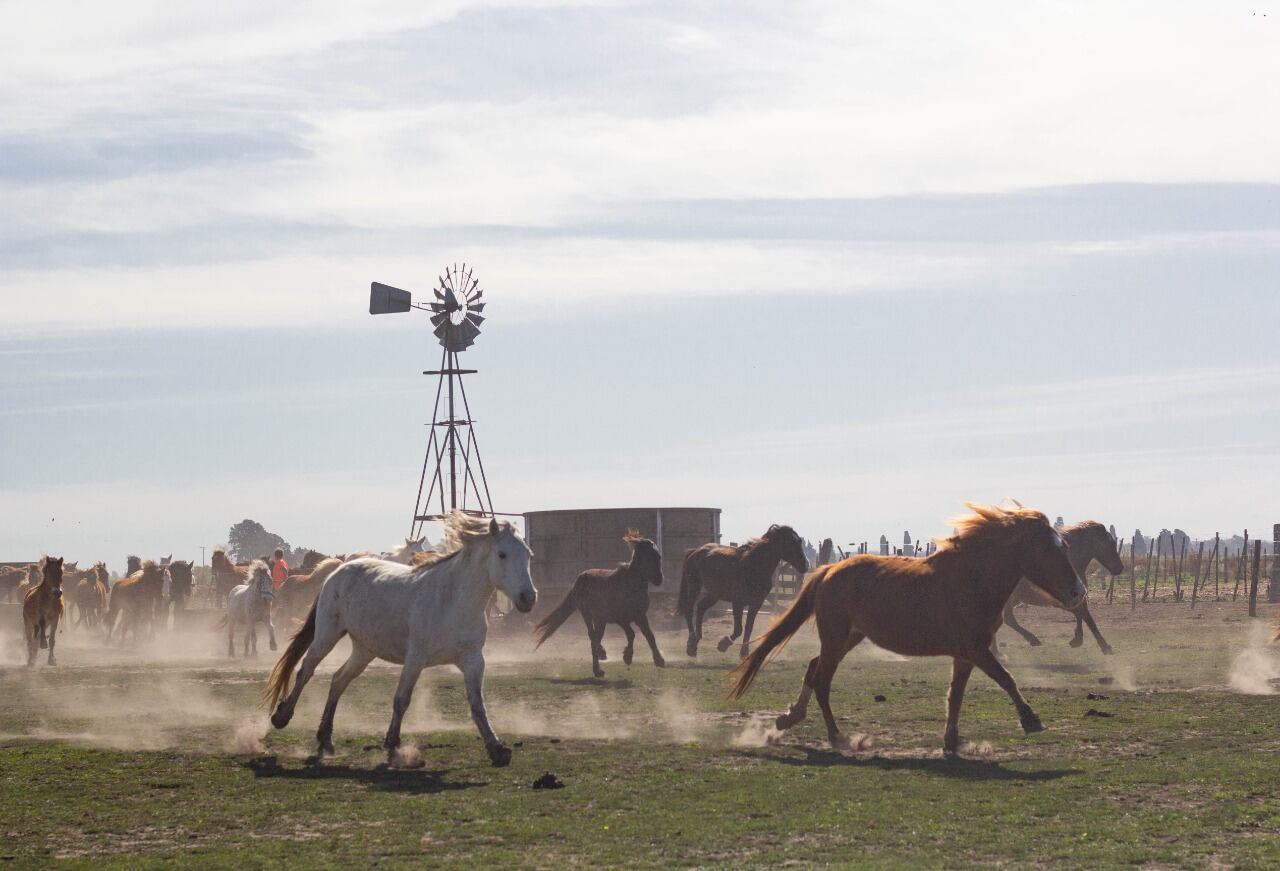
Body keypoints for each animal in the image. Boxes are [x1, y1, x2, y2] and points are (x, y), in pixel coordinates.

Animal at [264, 514, 535, 763]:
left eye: (528, 555)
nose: (528, 597)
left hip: (364, 650)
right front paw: (392, 743)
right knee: (306, 670)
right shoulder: (415, 658)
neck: (453, 600)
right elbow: (401, 699)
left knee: (339, 680)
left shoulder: (473, 660)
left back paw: (325, 739)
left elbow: (478, 705)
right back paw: (282, 716)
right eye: (502, 554)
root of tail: (337, 572)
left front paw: (497, 749)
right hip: (327, 634)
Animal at [532, 530, 665, 681]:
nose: (659, 579)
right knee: (592, 637)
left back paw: (599, 666)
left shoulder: (640, 616)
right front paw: (627, 657)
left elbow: (649, 635)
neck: (630, 584)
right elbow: (631, 634)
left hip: (600, 620)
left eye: (658, 556)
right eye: (648, 557)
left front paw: (659, 660)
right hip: (587, 615)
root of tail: (580, 578)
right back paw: (599, 663)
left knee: (596, 638)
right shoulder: (621, 619)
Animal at [680, 525, 808, 660]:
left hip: (714, 594)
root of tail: (695, 551)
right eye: (791, 542)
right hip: (694, 587)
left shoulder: (756, 603)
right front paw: (723, 645)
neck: (754, 566)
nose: (805, 564)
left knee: (701, 607)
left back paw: (696, 642)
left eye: (799, 541)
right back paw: (691, 644)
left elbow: (748, 628)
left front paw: (744, 652)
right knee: (689, 610)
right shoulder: (738, 602)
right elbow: (738, 629)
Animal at [732, 504, 1090, 753]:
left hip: (847, 638)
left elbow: (956, 695)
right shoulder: (976, 649)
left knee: (812, 668)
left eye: (1065, 547)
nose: (1078, 592)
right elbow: (1006, 678)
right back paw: (837, 737)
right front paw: (1031, 720)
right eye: (1048, 549)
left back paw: (790, 717)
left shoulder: (966, 654)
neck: (972, 578)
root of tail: (830, 570)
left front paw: (952, 740)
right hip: (836, 639)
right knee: (821, 680)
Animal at [998, 517, 1121, 653]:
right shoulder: (1060, 601)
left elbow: (1081, 615)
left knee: (1008, 619)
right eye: (1111, 543)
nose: (1120, 568)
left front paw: (1077, 639)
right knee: (1008, 618)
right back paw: (1031, 640)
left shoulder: (1077, 598)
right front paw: (1103, 645)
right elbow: (1085, 616)